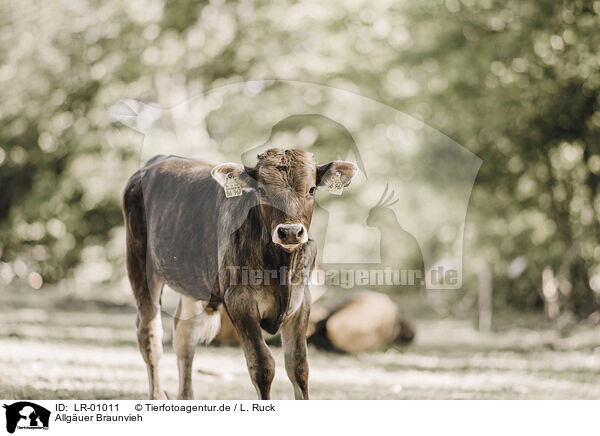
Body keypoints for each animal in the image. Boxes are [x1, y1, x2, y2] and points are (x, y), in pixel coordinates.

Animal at [123, 149, 356, 398]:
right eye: (262, 191)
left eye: (312, 189)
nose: (291, 232)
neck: (280, 267)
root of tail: (156, 160)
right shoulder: (239, 300)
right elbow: (262, 366)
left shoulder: (302, 300)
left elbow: (299, 366)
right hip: (139, 263)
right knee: (150, 335)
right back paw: (157, 395)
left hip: (192, 282)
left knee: (185, 337)